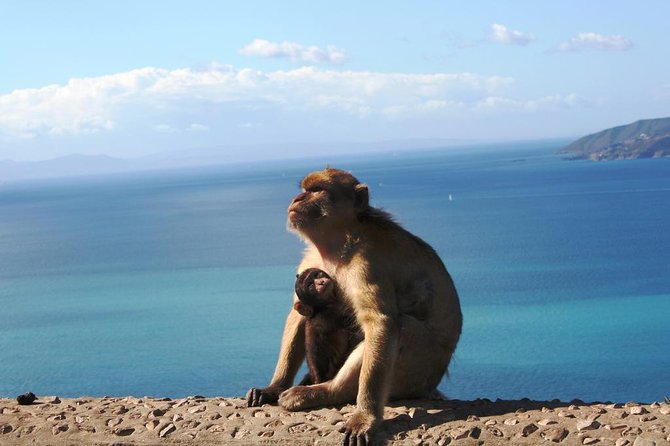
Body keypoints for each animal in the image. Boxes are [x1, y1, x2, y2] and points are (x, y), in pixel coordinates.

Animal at [247, 167, 462, 446]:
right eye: (305, 189)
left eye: (316, 190)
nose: (297, 199)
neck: (338, 242)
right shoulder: (311, 259)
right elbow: (298, 312)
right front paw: (275, 386)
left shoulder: (367, 264)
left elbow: (381, 324)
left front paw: (365, 417)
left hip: (418, 373)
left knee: (403, 329)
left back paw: (327, 392)